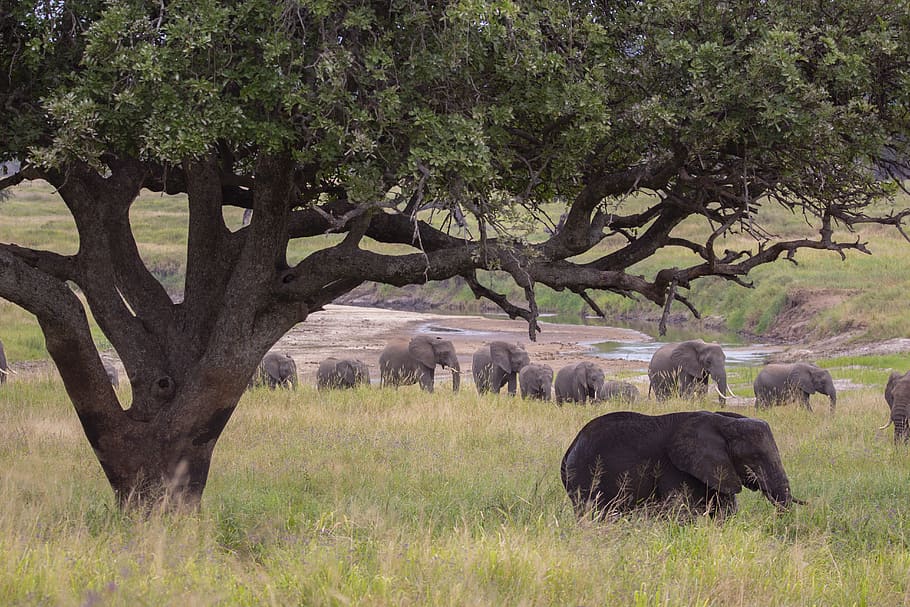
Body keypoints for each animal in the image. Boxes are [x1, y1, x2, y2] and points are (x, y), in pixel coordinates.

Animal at [560, 410, 802, 519]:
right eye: (754, 458)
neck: (723, 422)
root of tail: (570, 449)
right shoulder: (676, 468)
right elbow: (683, 511)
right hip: (586, 478)